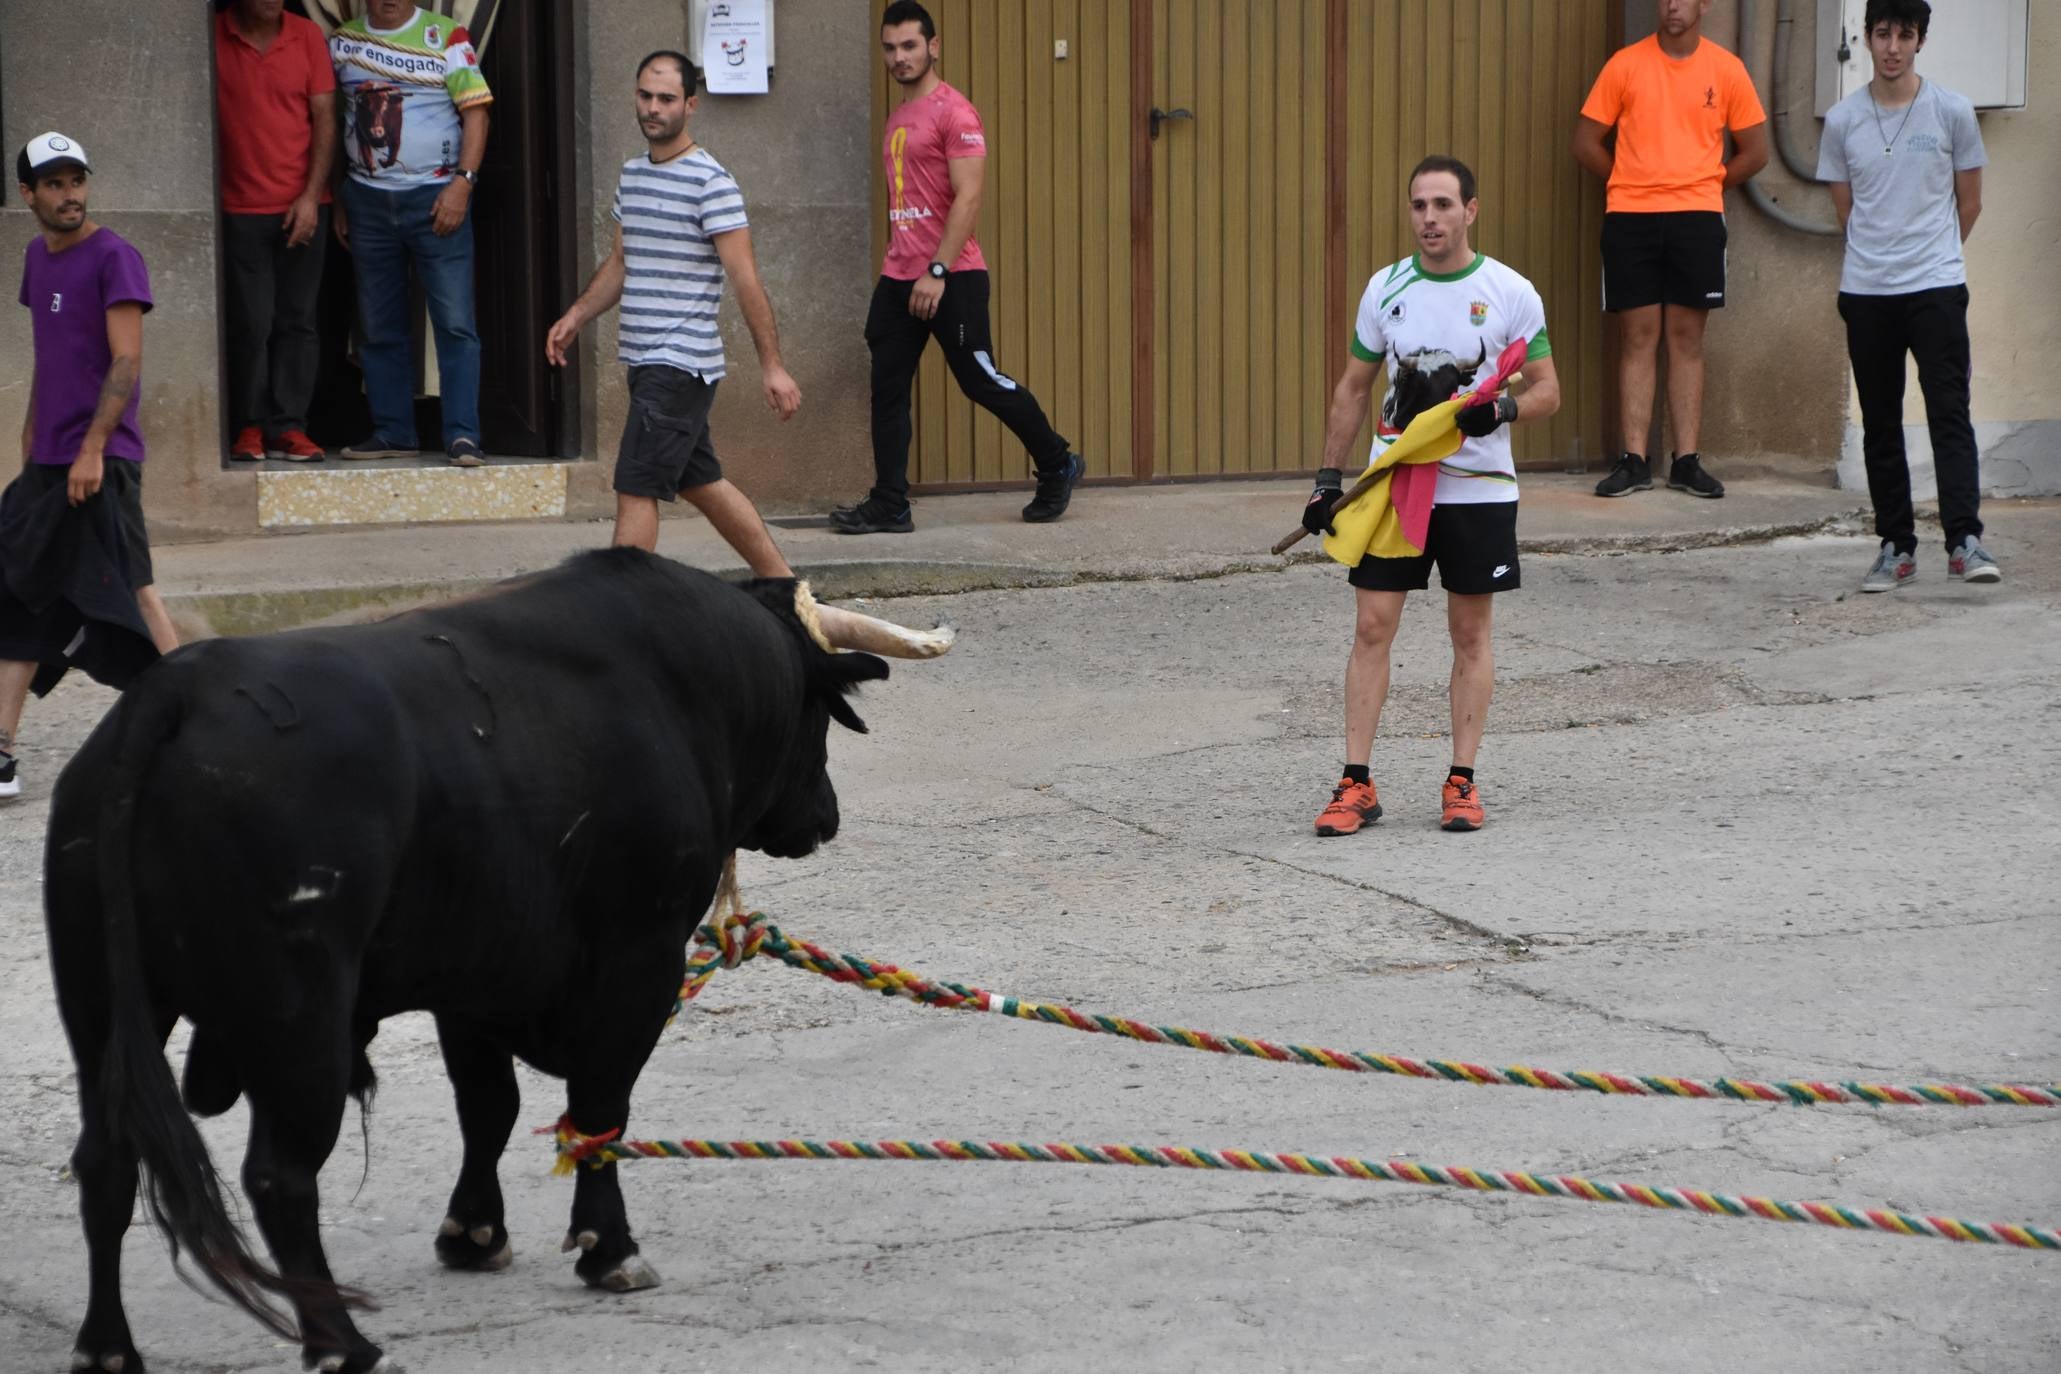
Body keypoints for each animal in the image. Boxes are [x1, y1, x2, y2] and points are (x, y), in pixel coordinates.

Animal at [44, 552, 890, 1374]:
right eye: (820, 716)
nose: (826, 816)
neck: (684, 687)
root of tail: (180, 689)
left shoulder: (475, 982)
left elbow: (489, 1108)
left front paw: (473, 1233)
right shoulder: (637, 960)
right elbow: (600, 1108)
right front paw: (608, 1249)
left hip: (102, 1008)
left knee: (106, 1160)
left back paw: (107, 1345)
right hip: (300, 1020)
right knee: (279, 1176)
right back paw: (341, 1342)